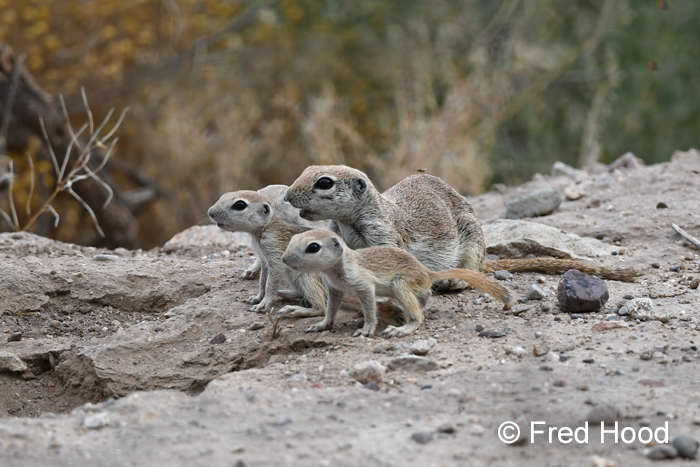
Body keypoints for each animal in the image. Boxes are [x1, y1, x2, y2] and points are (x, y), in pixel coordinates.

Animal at [282, 229, 513, 337]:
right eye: (291, 240)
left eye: (313, 247)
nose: (284, 260)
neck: (337, 268)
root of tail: (428, 273)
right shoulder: (335, 289)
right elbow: (330, 309)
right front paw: (322, 325)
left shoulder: (364, 285)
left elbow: (370, 308)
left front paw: (367, 329)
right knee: (425, 297)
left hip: (400, 284)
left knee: (419, 316)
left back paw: (403, 328)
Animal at [284, 165, 639, 283]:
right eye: (304, 170)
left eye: (324, 182)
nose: (286, 194)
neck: (347, 224)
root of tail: (483, 260)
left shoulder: (383, 233)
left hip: (470, 245)